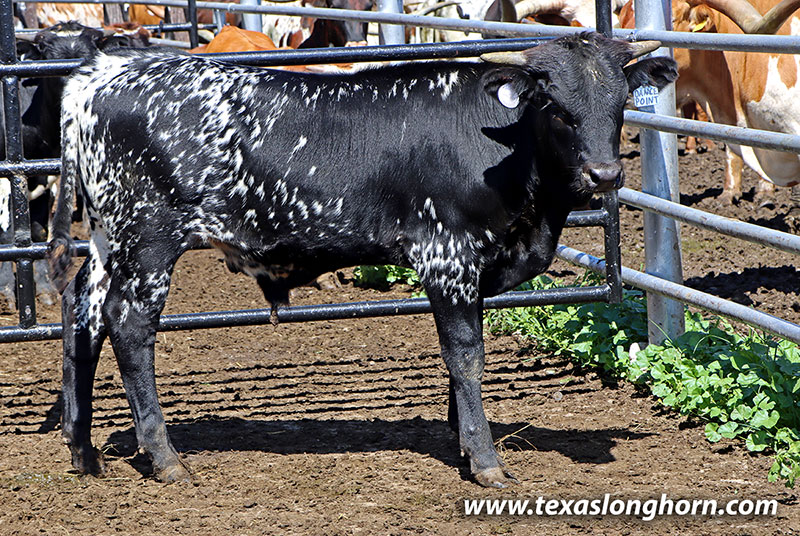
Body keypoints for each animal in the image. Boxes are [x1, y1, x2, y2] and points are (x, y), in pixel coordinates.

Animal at [47, 32, 676, 486]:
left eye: (621, 103)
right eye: (557, 106)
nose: (606, 175)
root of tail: (103, 73)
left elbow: (461, 361)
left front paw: (463, 443)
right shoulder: (446, 256)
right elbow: (466, 357)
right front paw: (485, 461)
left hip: (107, 241)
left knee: (83, 309)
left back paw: (83, 449)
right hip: (149, 242)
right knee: (129, 327)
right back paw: (165, 458)